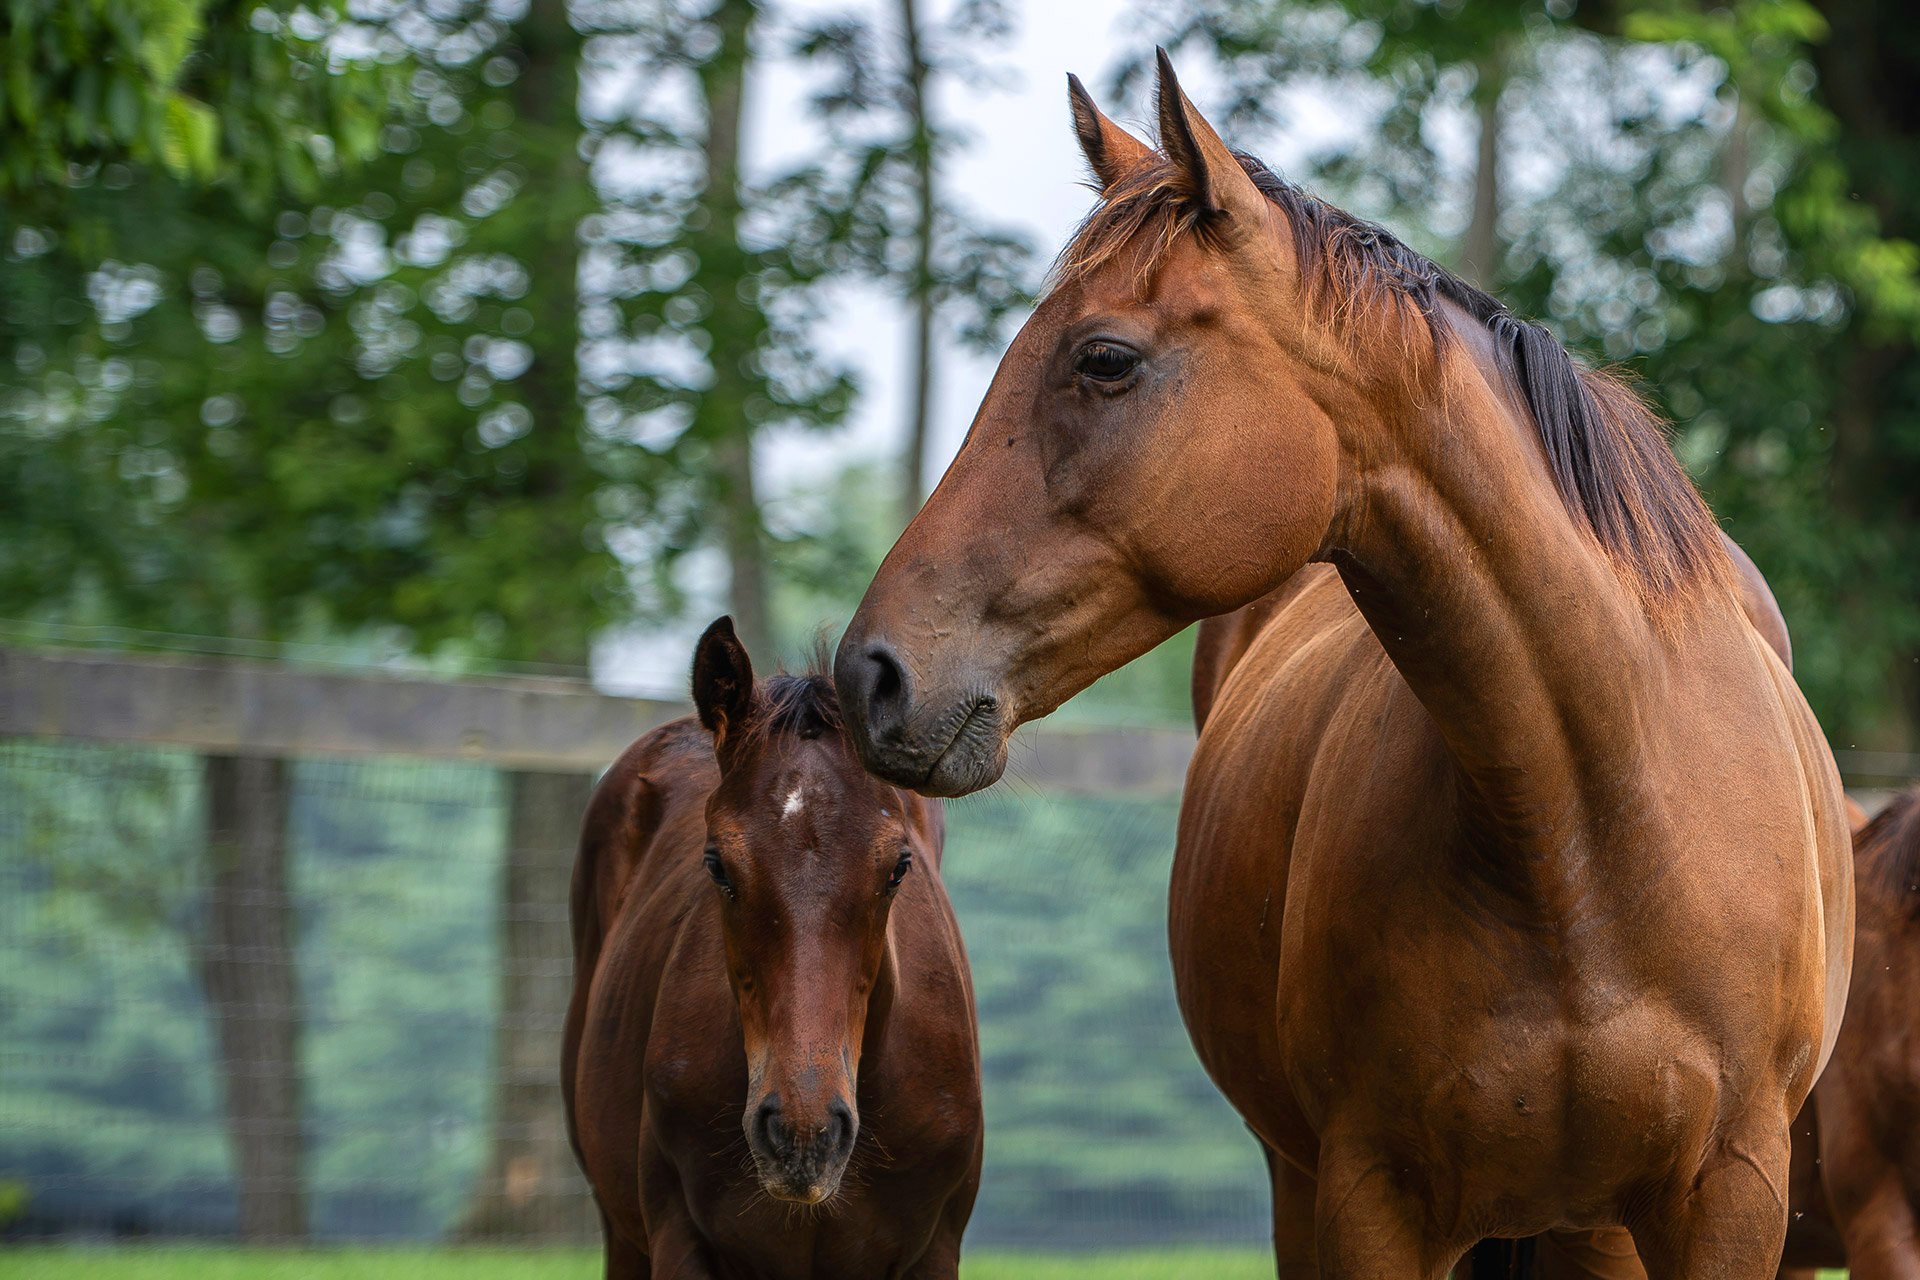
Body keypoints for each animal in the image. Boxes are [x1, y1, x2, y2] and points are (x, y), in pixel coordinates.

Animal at [832, 52, 1852, 1280]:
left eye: (1105, 359)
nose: (872, 672)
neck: (1589, 836)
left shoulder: (1729, 1195)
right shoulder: (1372, 1198)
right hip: (1307, 1182)